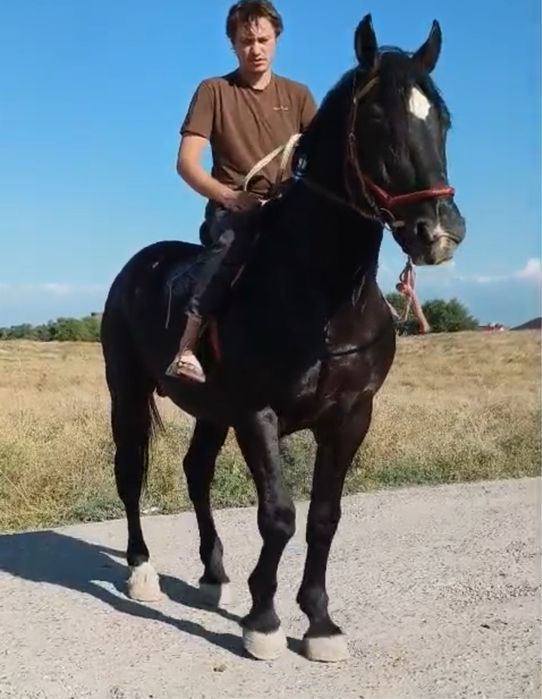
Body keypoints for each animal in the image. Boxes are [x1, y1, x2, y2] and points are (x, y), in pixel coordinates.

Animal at [100, 13, 466, 663]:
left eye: (441, 121)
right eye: (378, 122)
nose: (440, 233)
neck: (322, 298)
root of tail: (137, 267)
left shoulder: (350, 416)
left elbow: (323, 516)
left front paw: (319, 622)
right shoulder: (257, 413)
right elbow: (277, 516)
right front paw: (264, 620)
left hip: (209, 411)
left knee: (195, 472)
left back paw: (213, 575)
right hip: (129, 393)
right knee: (130, 470)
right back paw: (142, 572)